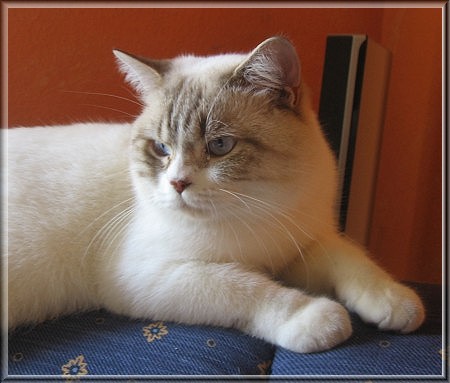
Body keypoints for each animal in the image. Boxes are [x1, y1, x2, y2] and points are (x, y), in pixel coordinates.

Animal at [4, 36, 426, 354]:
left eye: (220, 146)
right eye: (161, 149)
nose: (177, 184)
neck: (259, 210)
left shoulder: (296, 246)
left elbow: (350, 258)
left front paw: (395, 302)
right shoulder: (152, 274)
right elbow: (246, 287)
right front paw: (318, 319)